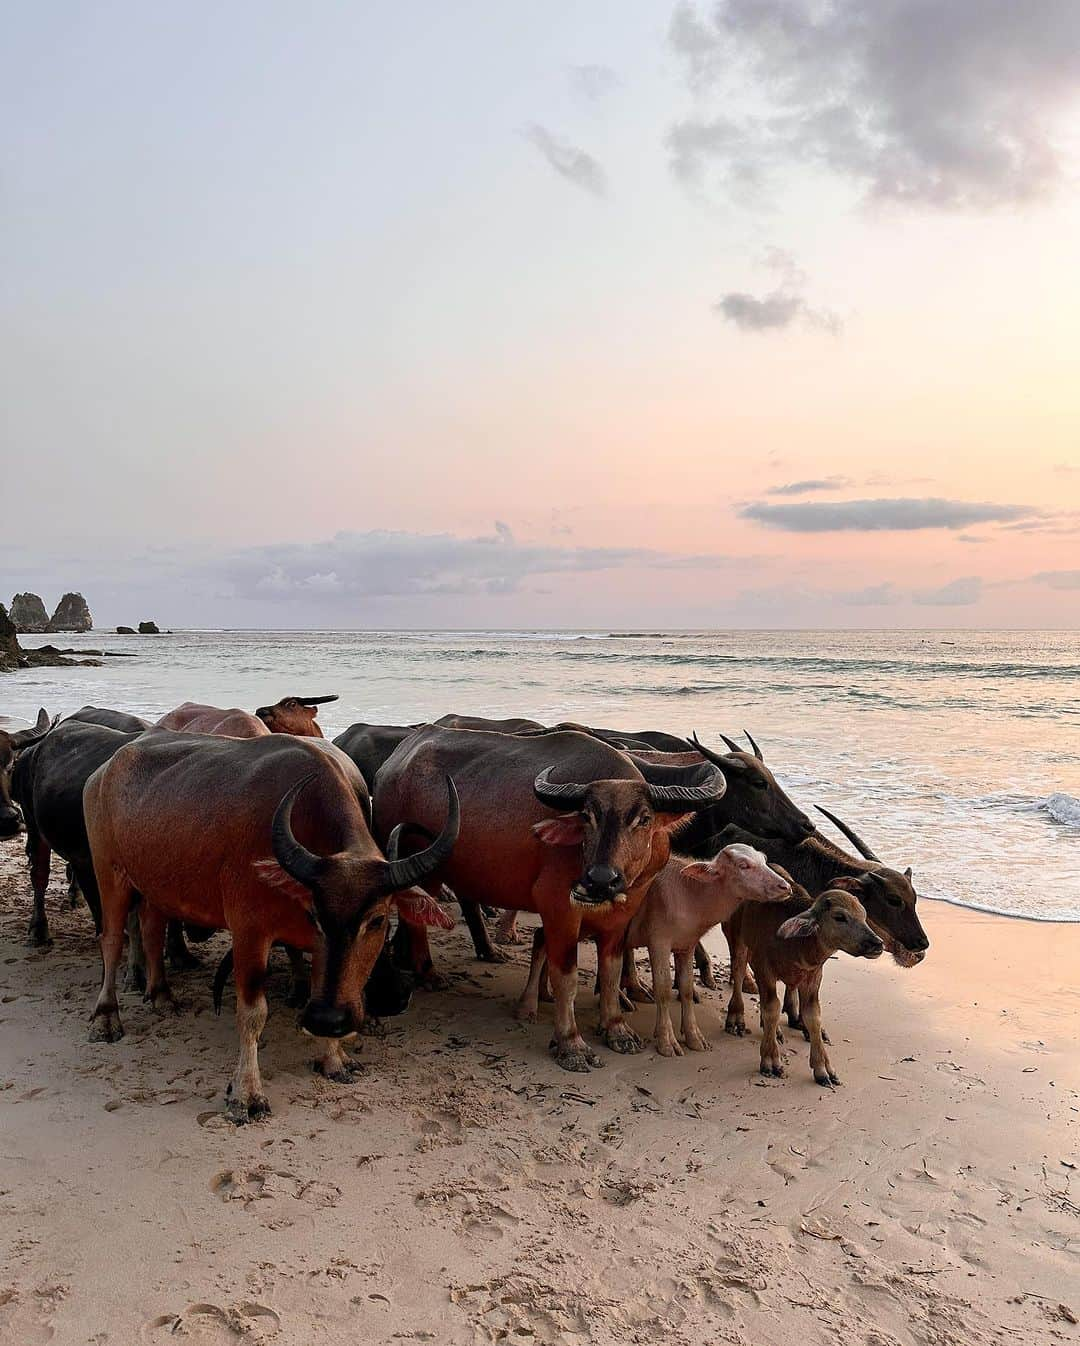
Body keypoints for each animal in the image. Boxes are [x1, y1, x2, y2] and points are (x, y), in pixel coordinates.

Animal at [83, 732, 455, 1119]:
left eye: (379, 920)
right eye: (315, 916)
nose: (327, 1020)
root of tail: (104, 770)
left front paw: (334, 1058)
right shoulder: (250, 933)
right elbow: (252, 1013)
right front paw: (246, 1094)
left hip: (155, 886)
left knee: (152, 929)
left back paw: (161, 996)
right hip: (109, 871)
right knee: (111, 940)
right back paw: (106, 1017)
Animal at [371, 726, 721, 1071]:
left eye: (643, 819)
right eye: (587, 816)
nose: (600, 879)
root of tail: (392, 765)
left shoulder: (621, 917)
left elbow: (611, 971)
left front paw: (616, 1028)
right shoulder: (558, 909)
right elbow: (565, 976)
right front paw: (570, 1043)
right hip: (422, 867)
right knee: (414, 917)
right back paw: (428, 973)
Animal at [619, 845, 786, 1055]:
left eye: (763, 859)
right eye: (743, 865)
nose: (785, 887)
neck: (689, 894)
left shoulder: (686, 945)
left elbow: (687, 989)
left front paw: (694, 1038)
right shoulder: (658, 942)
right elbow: (663, 990)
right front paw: (667, 1041)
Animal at [721, 888, 883, 1087]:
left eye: (863, 915)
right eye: (839, 917)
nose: (877, 944)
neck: (796, 944)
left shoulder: (813, 977)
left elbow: (813, 1015)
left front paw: (823, 1069)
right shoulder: (764, 969)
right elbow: (772, 1009)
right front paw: (771, 1060)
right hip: (736, 939)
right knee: (738, 971)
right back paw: (736, 1018)